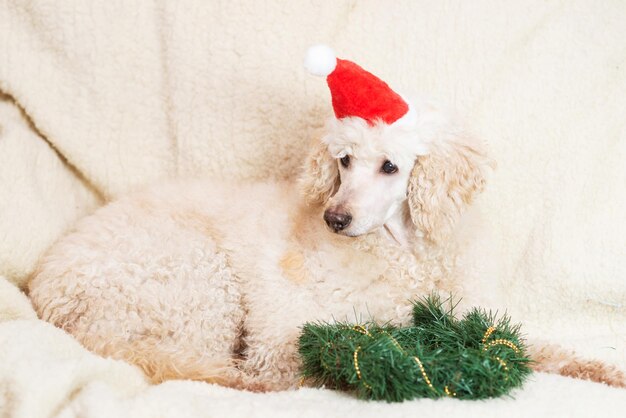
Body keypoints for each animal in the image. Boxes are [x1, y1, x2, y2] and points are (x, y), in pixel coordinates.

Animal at [28, 46, 620, 392]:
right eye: (343, 161)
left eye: (389, 166)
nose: (334, 219)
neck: (404, 254)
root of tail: (50, 297)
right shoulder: (285, 328)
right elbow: (307, 355)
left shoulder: (474, 319)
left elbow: (545, 349)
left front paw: (604, 370)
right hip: (200, 282)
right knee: (218, 367)